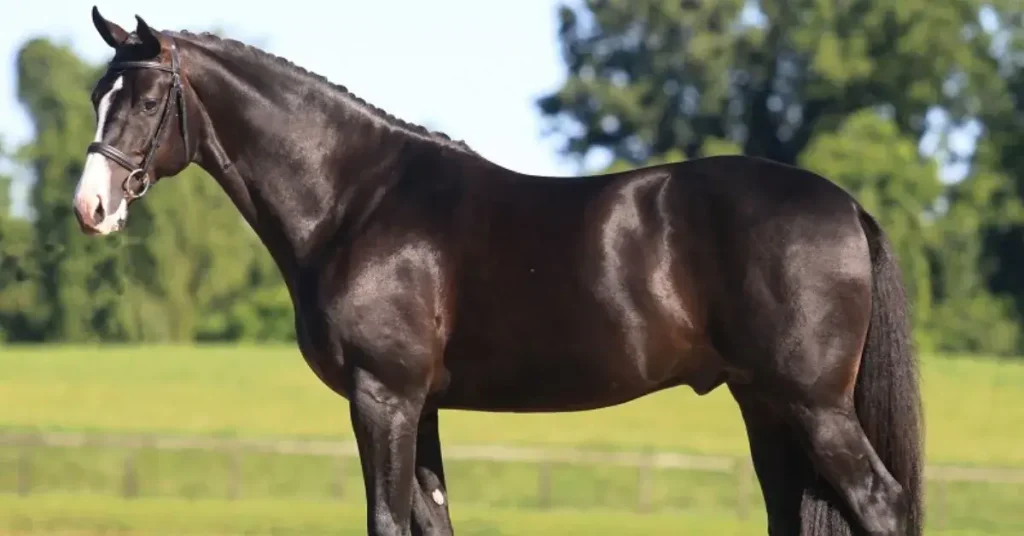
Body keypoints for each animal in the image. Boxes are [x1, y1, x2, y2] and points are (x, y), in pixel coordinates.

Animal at [71, 8, 923, 536]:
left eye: (146, 100)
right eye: (96, 95)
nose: (91, 207)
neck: (356, 199)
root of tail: (848, 207)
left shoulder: (383, 395)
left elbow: (385, 519)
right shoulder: (420, 406)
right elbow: (432, 519)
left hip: (814, 407)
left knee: (882, 503)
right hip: (767, 406)